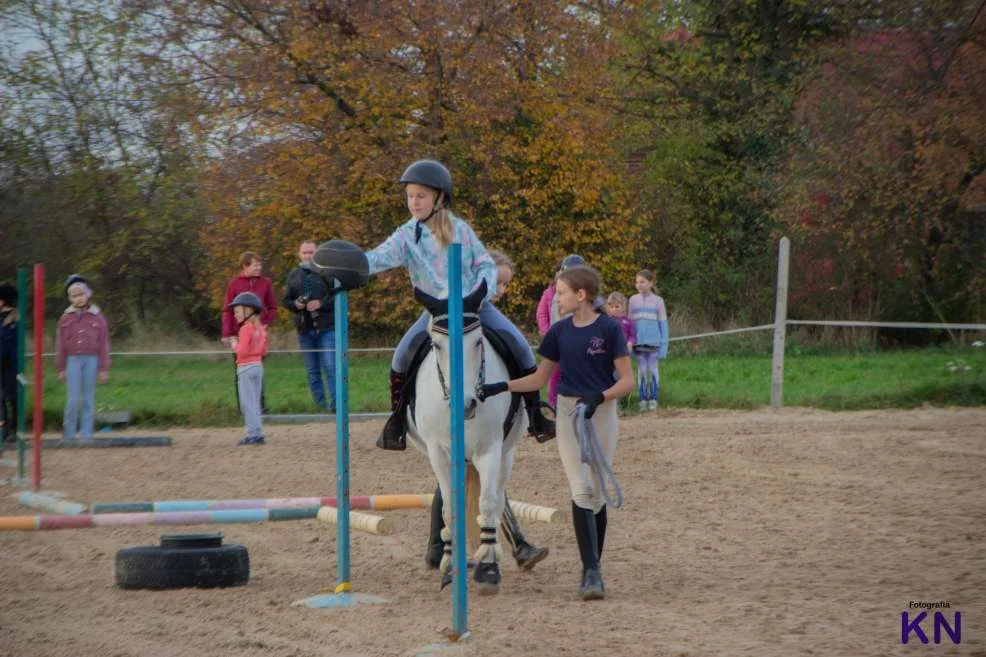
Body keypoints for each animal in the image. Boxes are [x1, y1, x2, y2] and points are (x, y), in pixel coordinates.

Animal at [404, 282, 528, 596]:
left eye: (477, 342)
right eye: (437, 345)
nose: (466, 404)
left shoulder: (490, 450)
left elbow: (487, 504)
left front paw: (488, 568)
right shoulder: (439, 453)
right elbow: (450, 508)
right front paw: (450, 568)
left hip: (506, 453)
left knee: (498, 500)